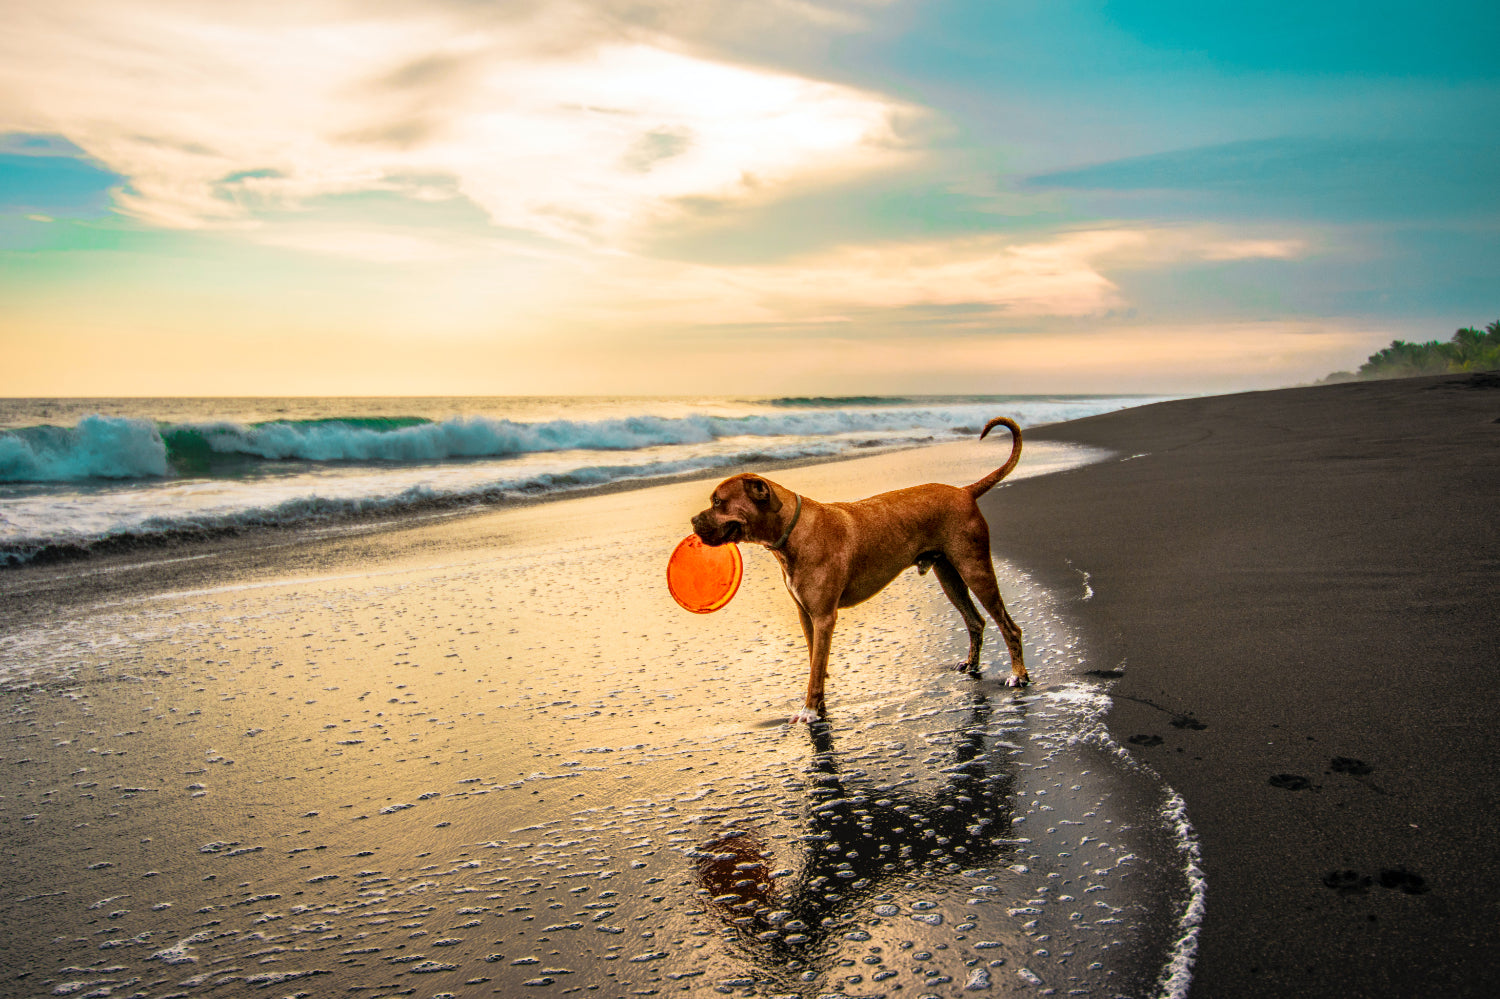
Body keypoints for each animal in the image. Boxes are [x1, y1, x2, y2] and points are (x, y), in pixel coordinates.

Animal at [693, 417, 1032, 720]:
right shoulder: (806, 616)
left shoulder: (823, 617)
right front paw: (819, 703)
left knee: (1009, 626)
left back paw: (1018, 675)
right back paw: (972, 664)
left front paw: (810, 710)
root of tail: (965, 491)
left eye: (718, 502)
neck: (794, 530)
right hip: (949, 576)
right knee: (975, 621)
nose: (693, 521)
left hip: (975, 569)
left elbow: (816, 667)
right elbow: (816, 661)